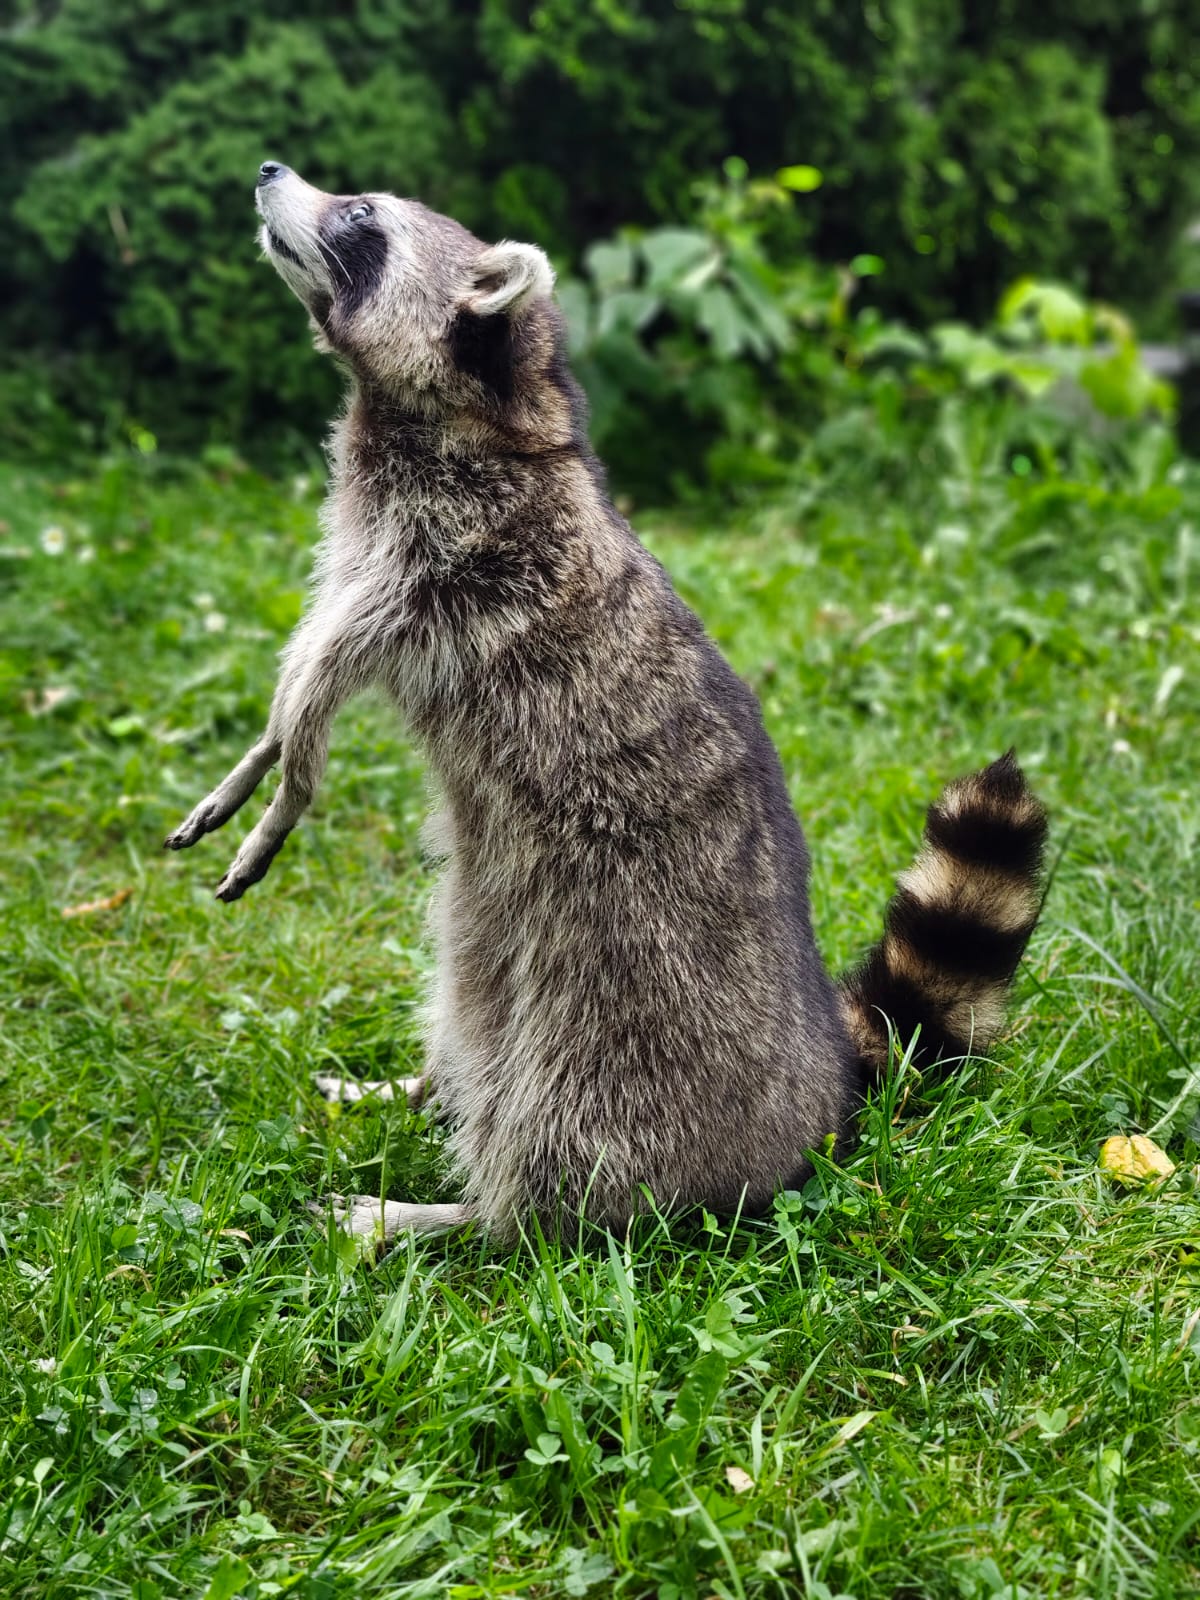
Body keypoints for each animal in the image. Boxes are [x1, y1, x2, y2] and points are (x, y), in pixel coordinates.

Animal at [165, 162, 1048, 1245]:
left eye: (362, 217)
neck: (476, 417)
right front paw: (263, 749)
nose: (268, 172)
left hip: (628, 986)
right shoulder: (372, 538)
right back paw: (422, 1089)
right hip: (496, 927)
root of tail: (822, 1098)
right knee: (469, 1006)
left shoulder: (456, 560)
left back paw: (462, 1211)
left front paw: (292, 776)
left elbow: (336, 661)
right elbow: (312, 645)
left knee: (567, 1115)